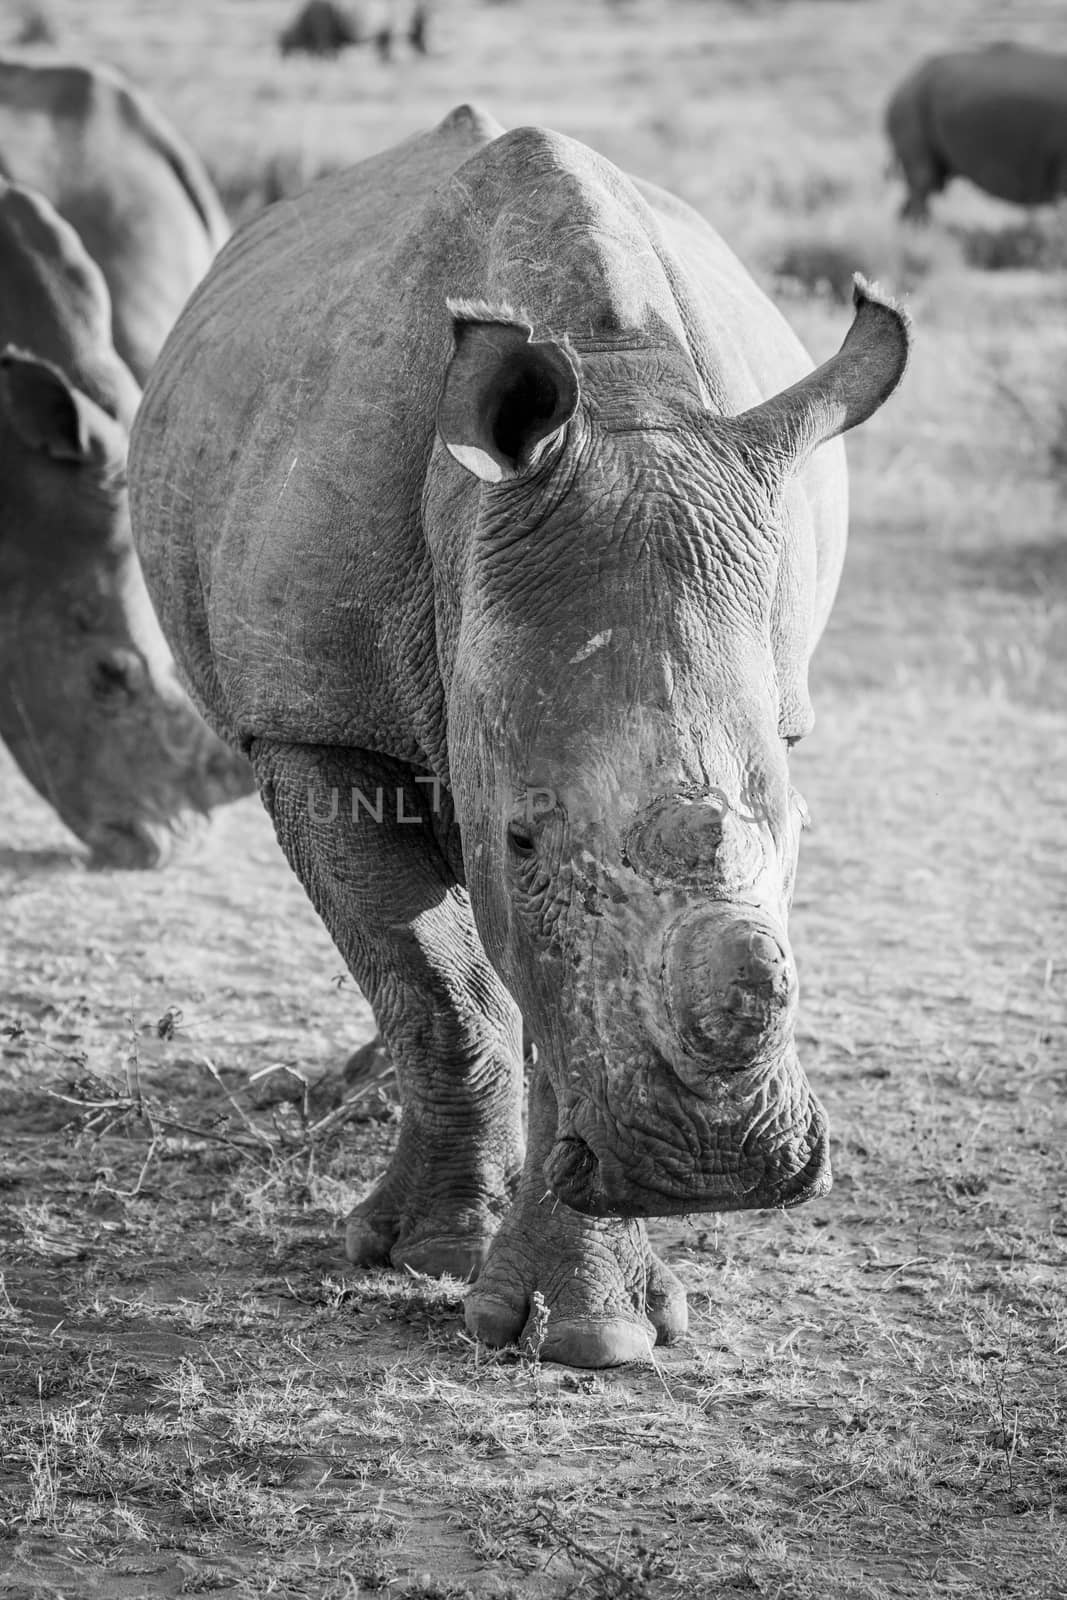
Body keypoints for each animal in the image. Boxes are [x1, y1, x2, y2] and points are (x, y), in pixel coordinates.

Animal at [127, 106, 908, 1369]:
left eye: (792, 825)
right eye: (523, 840)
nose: (713, 1169)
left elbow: (555, 995)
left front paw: (589, 1329)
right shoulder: (307, 716)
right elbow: (436, 976)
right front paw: (432, 1256)